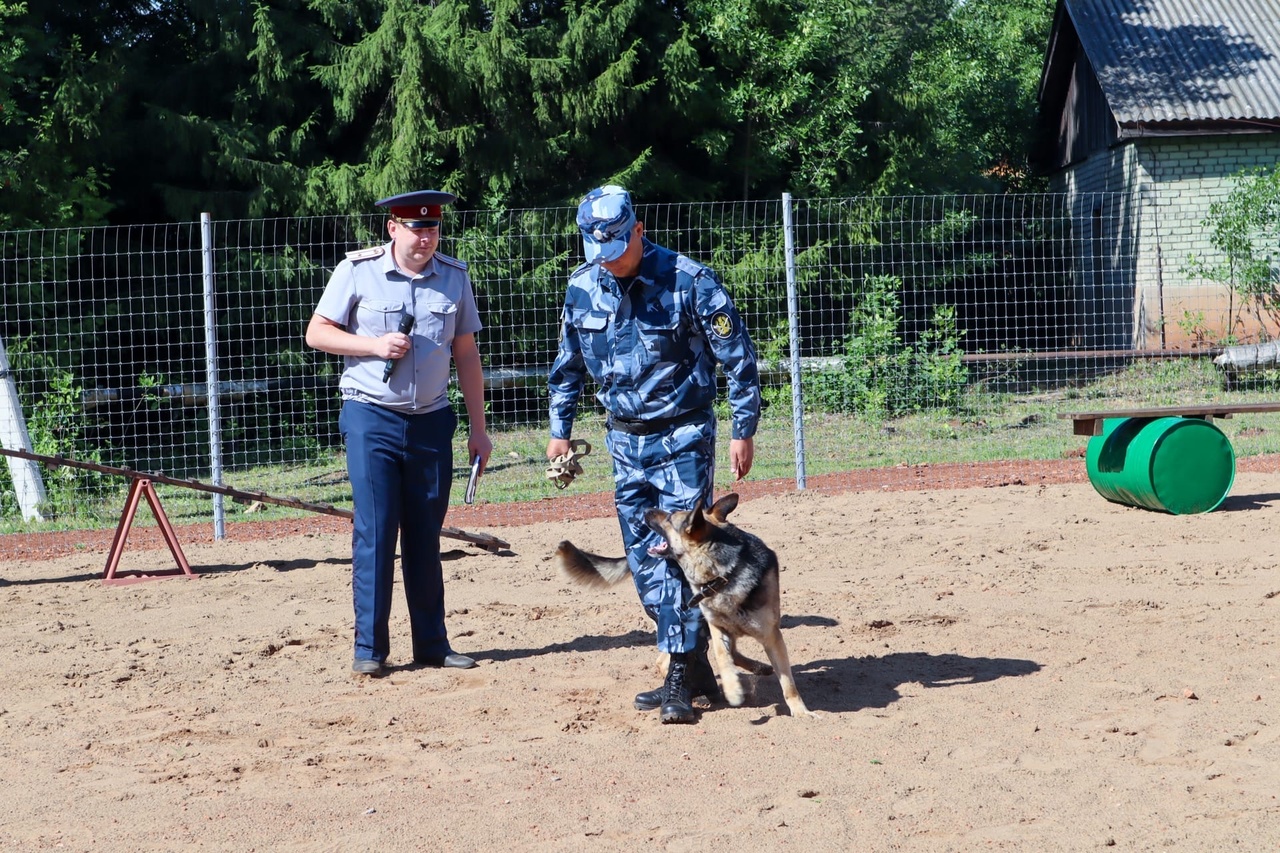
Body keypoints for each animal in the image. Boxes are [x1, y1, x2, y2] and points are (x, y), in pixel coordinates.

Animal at [555, 489, 814, 712]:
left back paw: (756, 668)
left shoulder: (772, 635)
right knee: (670, 659)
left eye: (670, 518)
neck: (723, 575)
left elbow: (788, 682)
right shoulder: (715, 625)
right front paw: (732, 689)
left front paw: (801, 712)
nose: (646, 509)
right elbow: (721, 655)